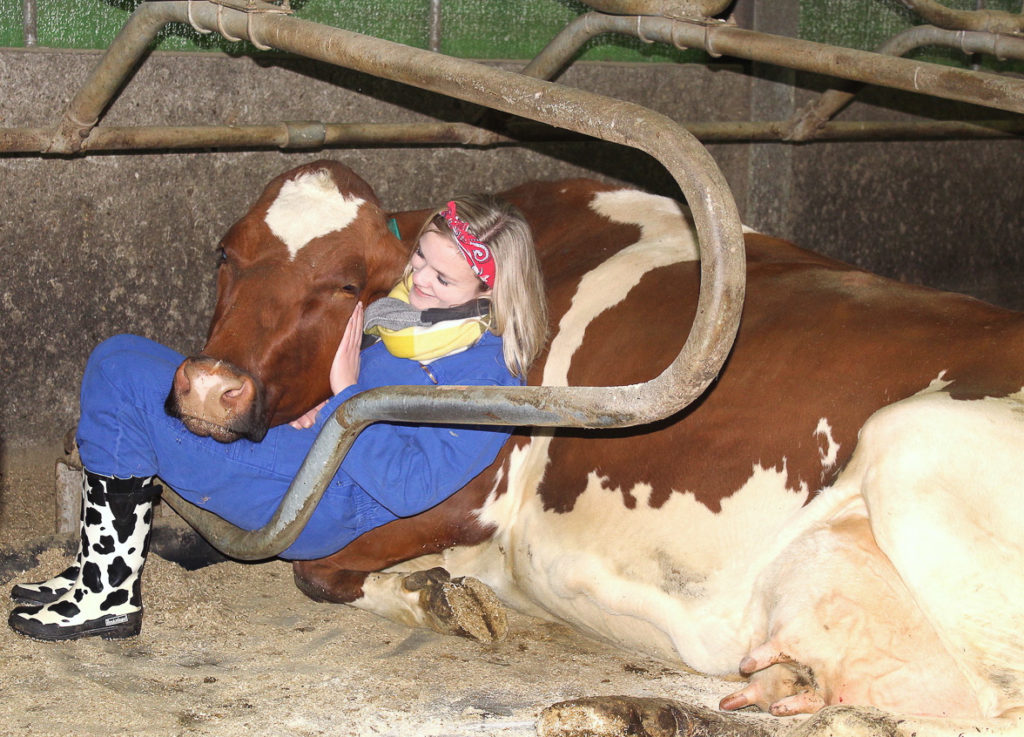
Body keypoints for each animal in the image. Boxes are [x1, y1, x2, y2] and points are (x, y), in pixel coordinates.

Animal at [168, 159, 1024, 736]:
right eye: (222, 252)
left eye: (346, 285)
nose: (209, 387)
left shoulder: (474, 495)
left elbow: (315, 567)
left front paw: (436, 598)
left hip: (912, 442)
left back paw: (611, 708)